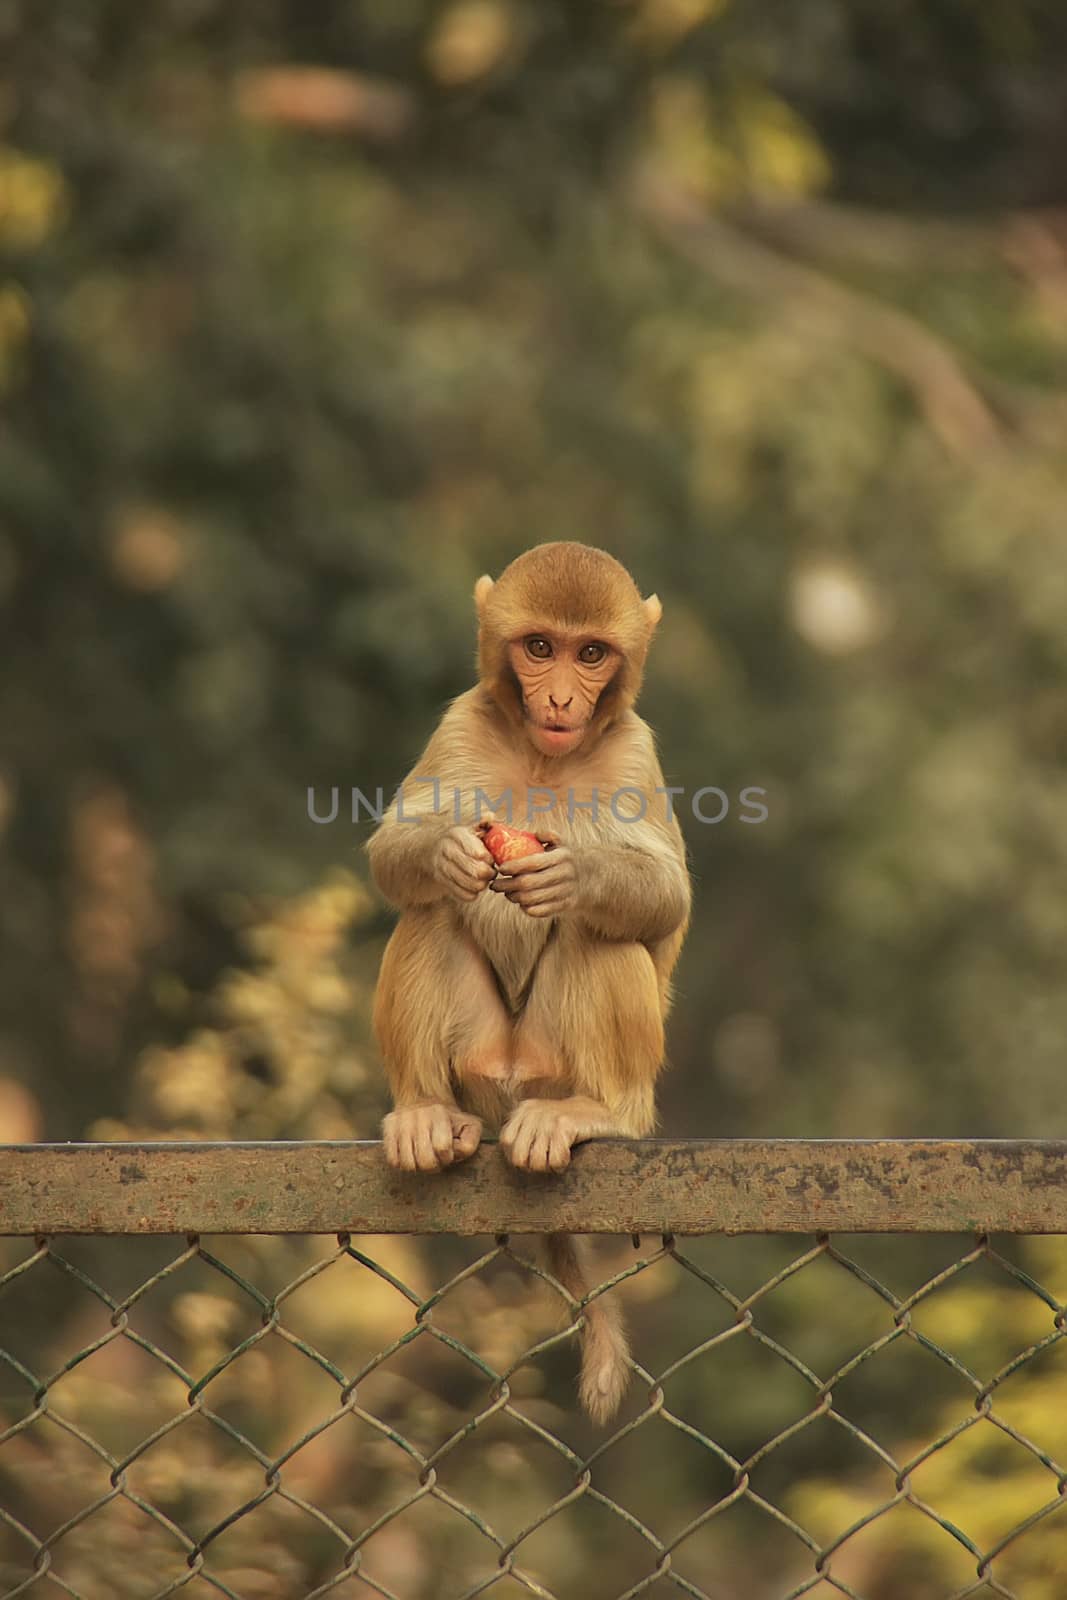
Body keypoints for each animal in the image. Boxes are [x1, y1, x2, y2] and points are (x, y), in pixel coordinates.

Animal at [367, 540, 694, 1427]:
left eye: (592, 654)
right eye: (539, 647)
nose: (557, 696)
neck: (545, 754)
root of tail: (516, 1086)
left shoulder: (635, 748)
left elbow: (662, 895)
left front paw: (575, 873)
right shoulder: (460, 721)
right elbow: (394, 858)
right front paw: (445, 851)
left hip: (565, 1067)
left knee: (598, 936)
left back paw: (598, 1113)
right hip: (481, 1064)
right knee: (429, 916)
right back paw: (423, 1113)